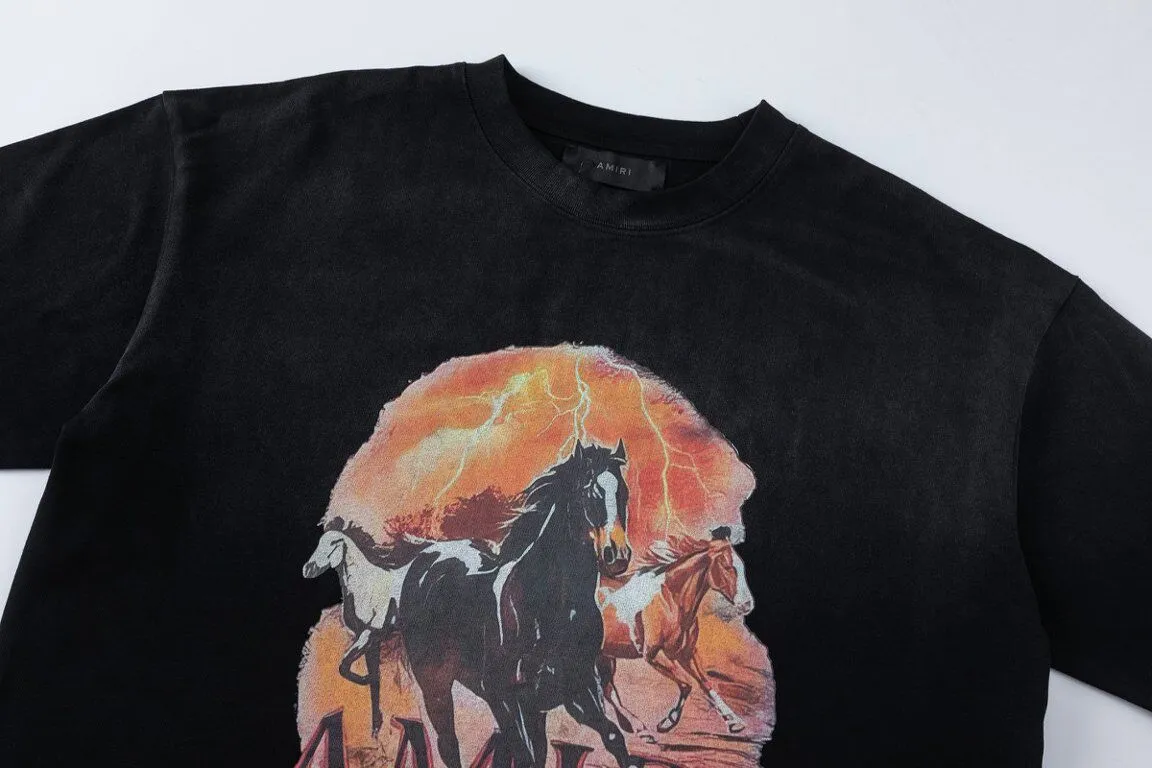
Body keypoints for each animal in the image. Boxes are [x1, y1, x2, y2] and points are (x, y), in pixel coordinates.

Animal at [395, 440, 640, 768]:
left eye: (622, 492)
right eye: (589, 492)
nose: (617, 555)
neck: (549, 609)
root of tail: (426, 559)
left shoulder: (579, 689)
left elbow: (613, 737)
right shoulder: (505, 699)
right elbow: (525, 756)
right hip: (436, 686)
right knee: (448, 744)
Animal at [597, 525, 754, 740]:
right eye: (726, 565)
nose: (747, 604)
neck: (670, 598)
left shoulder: (686, 653)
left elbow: (705, 683)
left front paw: (734, 721)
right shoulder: (653, 655)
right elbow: (687, 685)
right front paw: (668, 721)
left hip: (606, 655)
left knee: (608, 690)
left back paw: (638, 728)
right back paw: (638, 728)